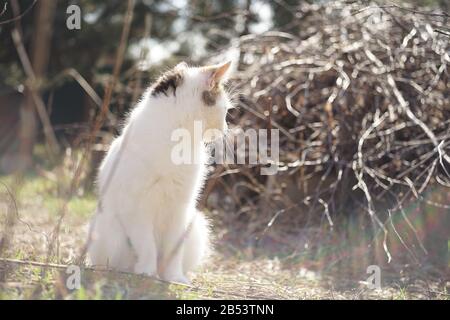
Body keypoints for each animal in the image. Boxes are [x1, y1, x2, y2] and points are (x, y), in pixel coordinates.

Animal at [89, 60, 234, 282]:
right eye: (225, 110)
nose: (225, 128)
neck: (177, 139)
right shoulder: (137, 208)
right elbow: (146, 245)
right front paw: (147, 272)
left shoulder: (181, 208)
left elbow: (174, 250)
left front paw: (174, 278)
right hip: (109, 231)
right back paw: (127, 270)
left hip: (195, 225)